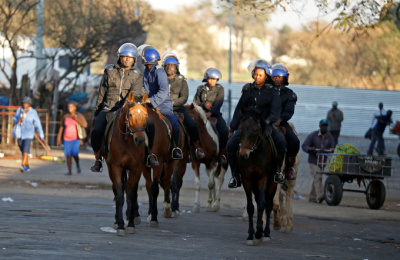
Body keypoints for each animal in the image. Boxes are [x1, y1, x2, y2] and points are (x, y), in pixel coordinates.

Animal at [105, 92, 148, 237]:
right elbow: (119, 195)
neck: (127, 141)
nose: (139, 139)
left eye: (146, 114)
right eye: (130, 114)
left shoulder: (137, 168)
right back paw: (117, 220)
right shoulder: (116, 166)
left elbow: (132, 194)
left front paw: (131, 224)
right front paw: (120, 225)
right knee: (116, 189)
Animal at [238, 107, 278, 246]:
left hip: (272, 184)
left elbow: (261, 204)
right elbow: (250, 207)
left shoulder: (264, 178)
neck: (254, 155)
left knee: (269, 204)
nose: (243, 154)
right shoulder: (246, 180)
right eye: (240, 128)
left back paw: (266, 234)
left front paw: (259, 232)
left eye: (255, 130)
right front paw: (251, 235)